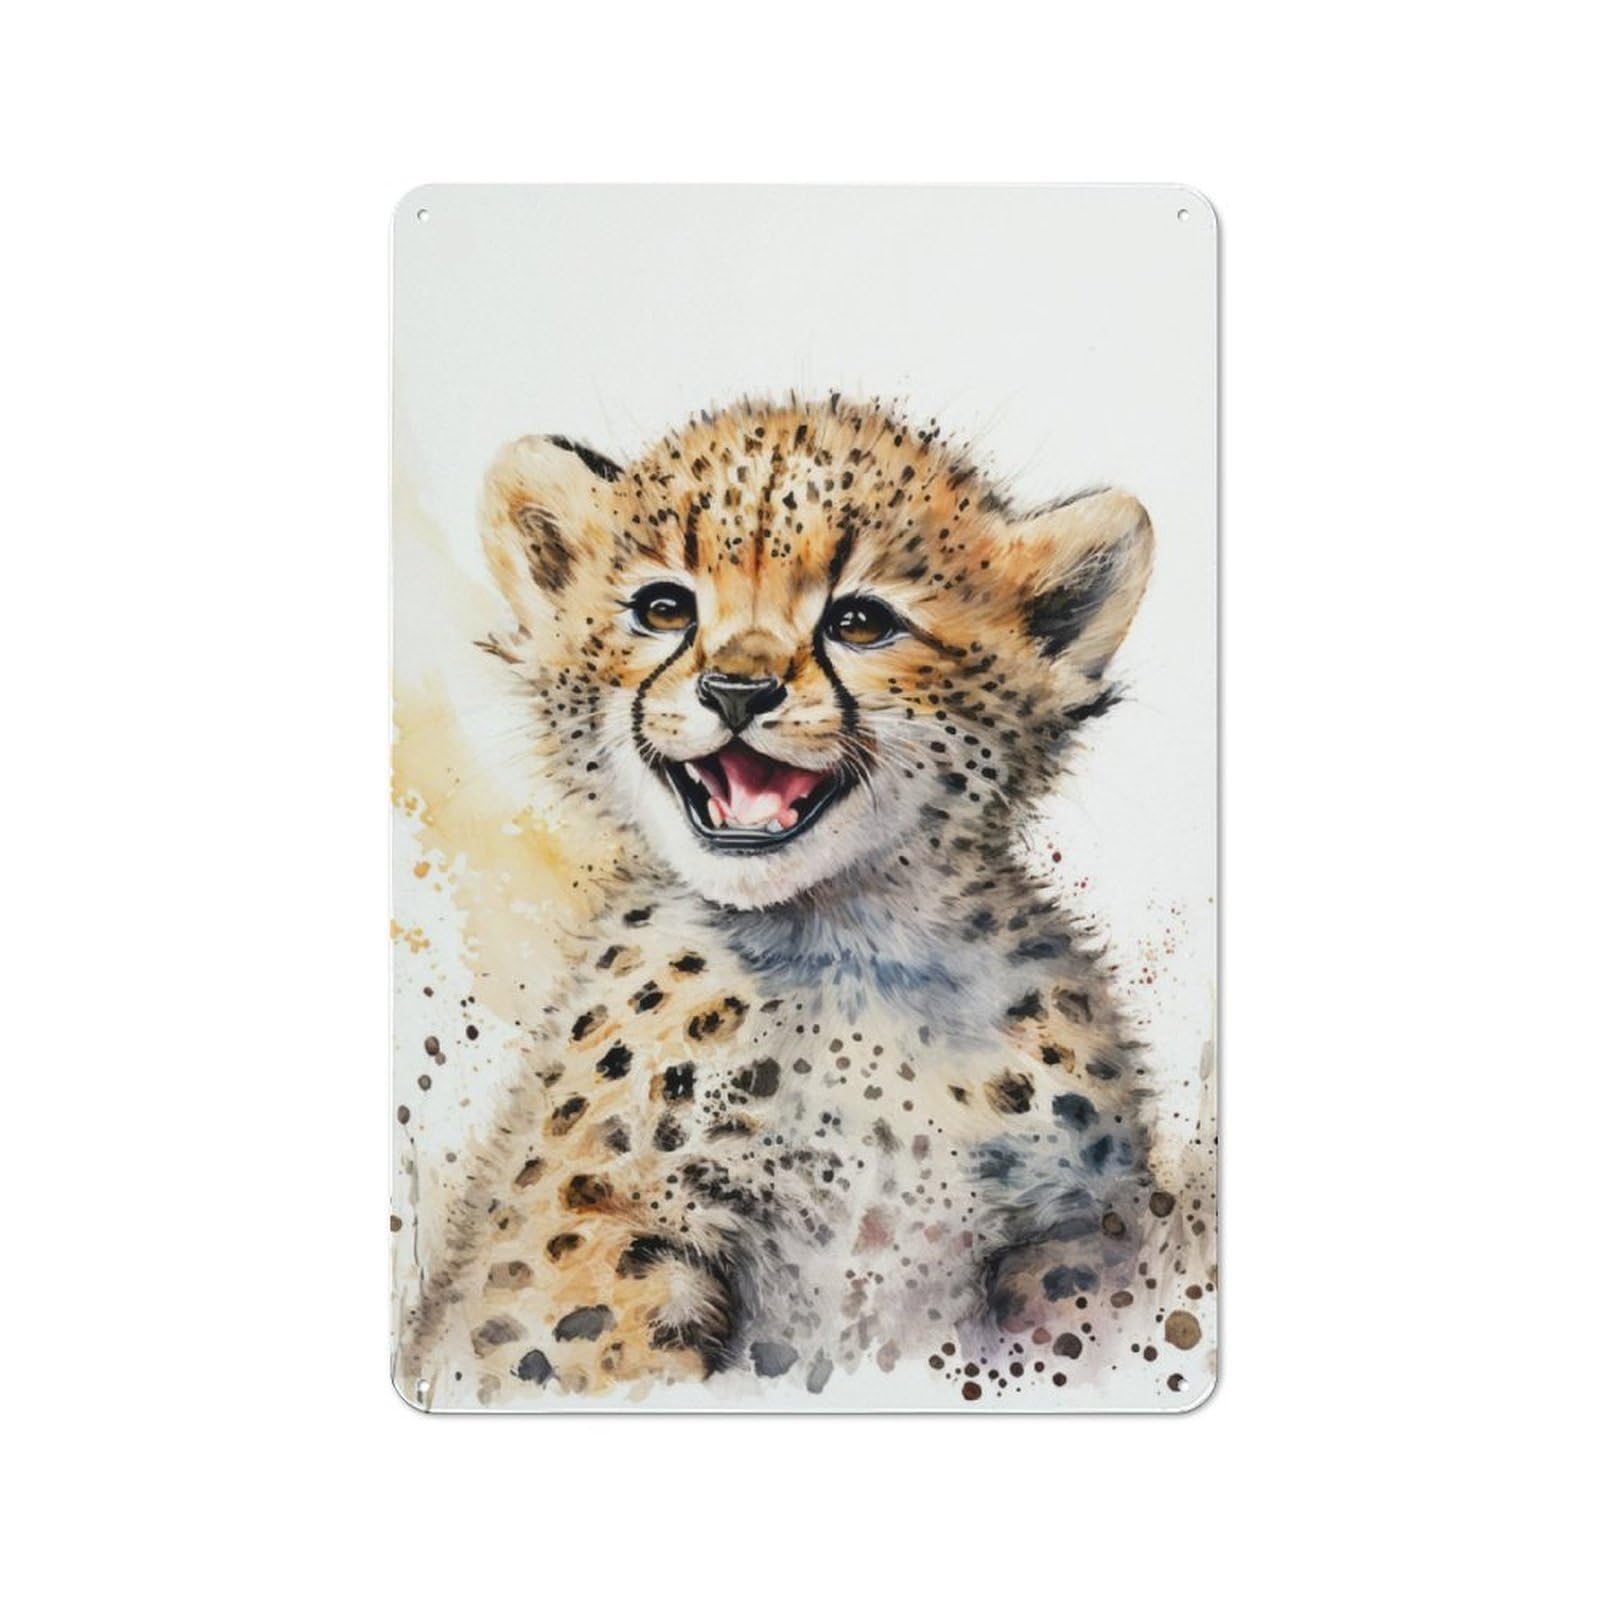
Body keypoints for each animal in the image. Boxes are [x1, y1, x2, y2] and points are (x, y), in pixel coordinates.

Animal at [399, 395, 1187, 1406]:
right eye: (663, 608)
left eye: (861, 620)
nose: (738, 689)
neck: (840, 940)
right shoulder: (577, 1235)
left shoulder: (1079, 1238)